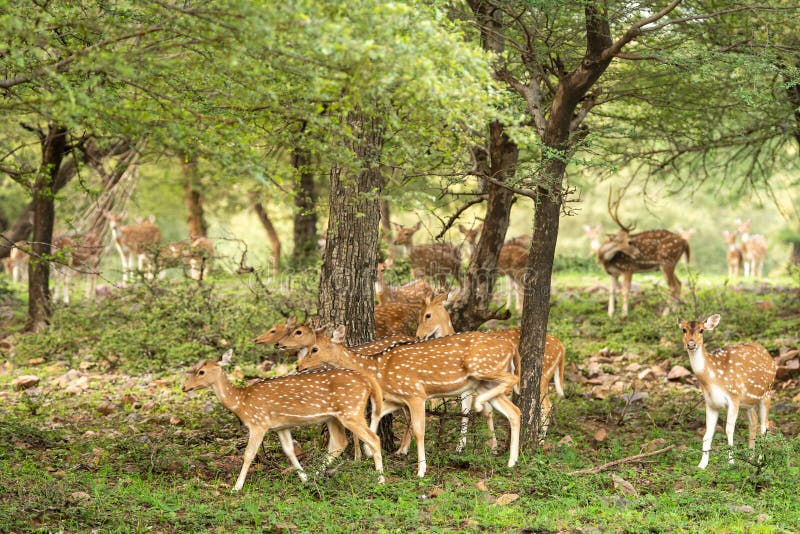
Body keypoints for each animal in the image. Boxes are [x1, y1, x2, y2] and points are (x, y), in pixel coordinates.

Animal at [184, 350, 384, 492]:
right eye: (193, 369)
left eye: (201, 371)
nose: (184, 386)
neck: (241, 403)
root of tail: (368, 381)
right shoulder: (281, 426)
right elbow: (289, 451)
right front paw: (304, 479)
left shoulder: (259, 422)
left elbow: (248, 454)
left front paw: (236, 487)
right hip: (334, 417)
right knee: (340, 444)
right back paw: (315, 475)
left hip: (351, 411)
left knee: (374, 439)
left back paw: (381, 481)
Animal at [298, 328, 520, 480]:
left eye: (314, 349)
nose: (299, 366)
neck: (379, 370)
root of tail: (511, 346)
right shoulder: (397, 397)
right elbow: (376, 415)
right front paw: (369, 451)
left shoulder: (415, 393)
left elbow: (419, 430)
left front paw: (420, 470)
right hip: (483, 381)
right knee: (514, 411)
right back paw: (511, 461)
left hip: (481, 367)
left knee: (513, 381)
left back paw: (480, 406)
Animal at [416, 298, 564, 448]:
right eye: (419, 313)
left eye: (427, 315)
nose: (418, 336)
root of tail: (561, 348)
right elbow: (481, 411)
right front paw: (490, 447)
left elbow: (473, 410)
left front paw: (464, 447)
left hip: (543, 377)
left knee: (548, 406)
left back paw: (541, 442)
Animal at [676, 316, 776, 472]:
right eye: (684, 329)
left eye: (701, 330)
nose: (691, 344)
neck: (712, 379)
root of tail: (769, 355)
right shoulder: (711, 403)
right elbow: (707, 433)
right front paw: (702, 465)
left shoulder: (733, 397)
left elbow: (729, 430)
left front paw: (731, 463)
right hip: (747, 402)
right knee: (753, 421)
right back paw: (750, 459)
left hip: (766, 393)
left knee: (765, 426)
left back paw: (760, 461)